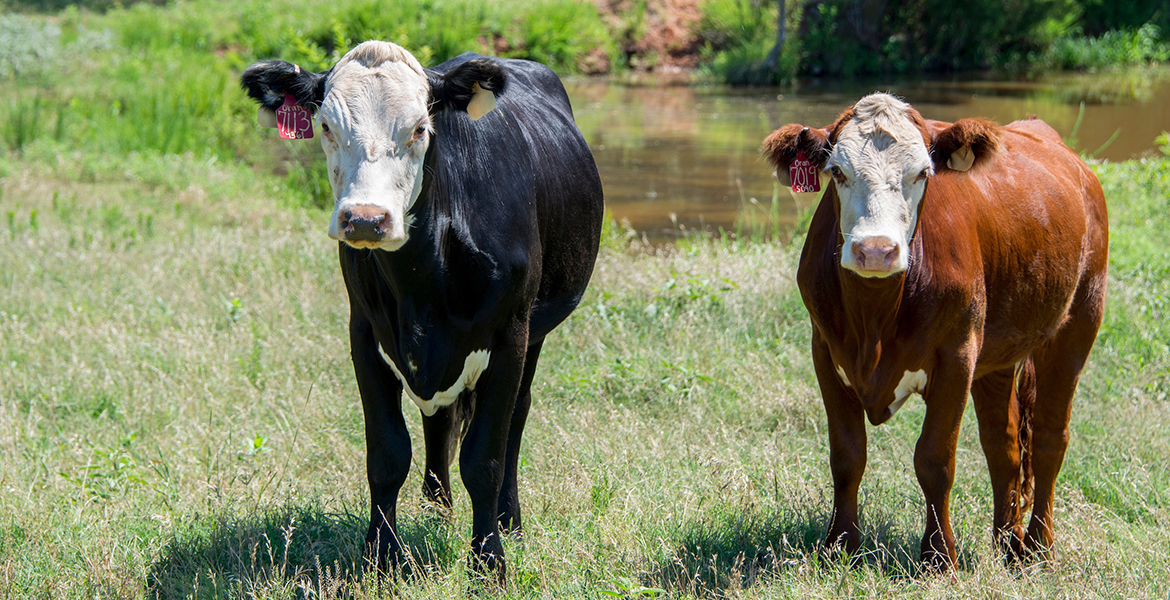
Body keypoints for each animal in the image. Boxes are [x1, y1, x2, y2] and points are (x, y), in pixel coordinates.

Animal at [237, 40, 603, 580]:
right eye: (326, 126)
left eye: (419, 129)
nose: (365, 219)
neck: (423, 280)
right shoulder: (365, 333)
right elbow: (387, 454)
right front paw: (380, 556)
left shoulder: (510, 335)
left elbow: (484, 457)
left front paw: (489, 561)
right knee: (440, 418)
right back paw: (438, 508)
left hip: (535, 332)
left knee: (516, 415)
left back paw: (508, 521)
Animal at [762, 92, 1109, 566]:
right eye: (838, 171)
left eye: (922, 173)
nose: (876, 250)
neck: (874, 319)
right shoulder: (825, 350)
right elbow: (847, 454)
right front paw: (841, 545)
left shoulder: (956, 354)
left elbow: (934, 459)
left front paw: (938, 557)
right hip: (998, 355)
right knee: (1004, 444)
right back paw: (1007, 541)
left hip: (1078, 324)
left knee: (1049, 439)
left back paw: (1038, 546)